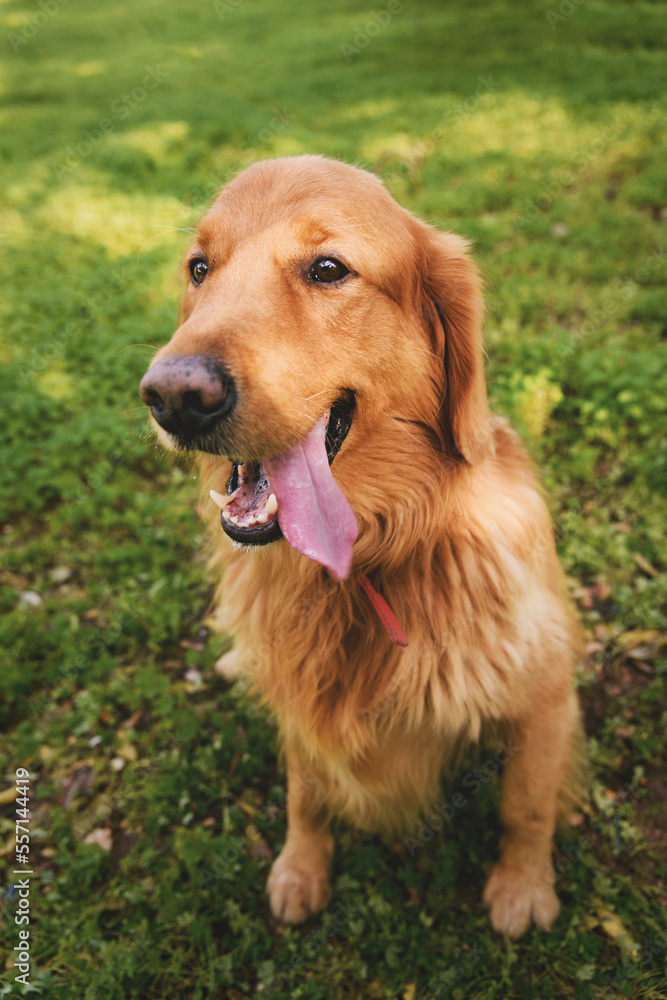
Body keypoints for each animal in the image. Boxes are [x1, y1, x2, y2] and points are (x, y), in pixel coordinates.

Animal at [141, 154, 584, 936]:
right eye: (199, 268)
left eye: (327, 268)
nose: (174, 397)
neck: (368, 559)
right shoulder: (299, 694)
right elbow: (304, 791)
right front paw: (300, 868)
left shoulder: (545, 690)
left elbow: (525, 804)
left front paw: (522, 888)